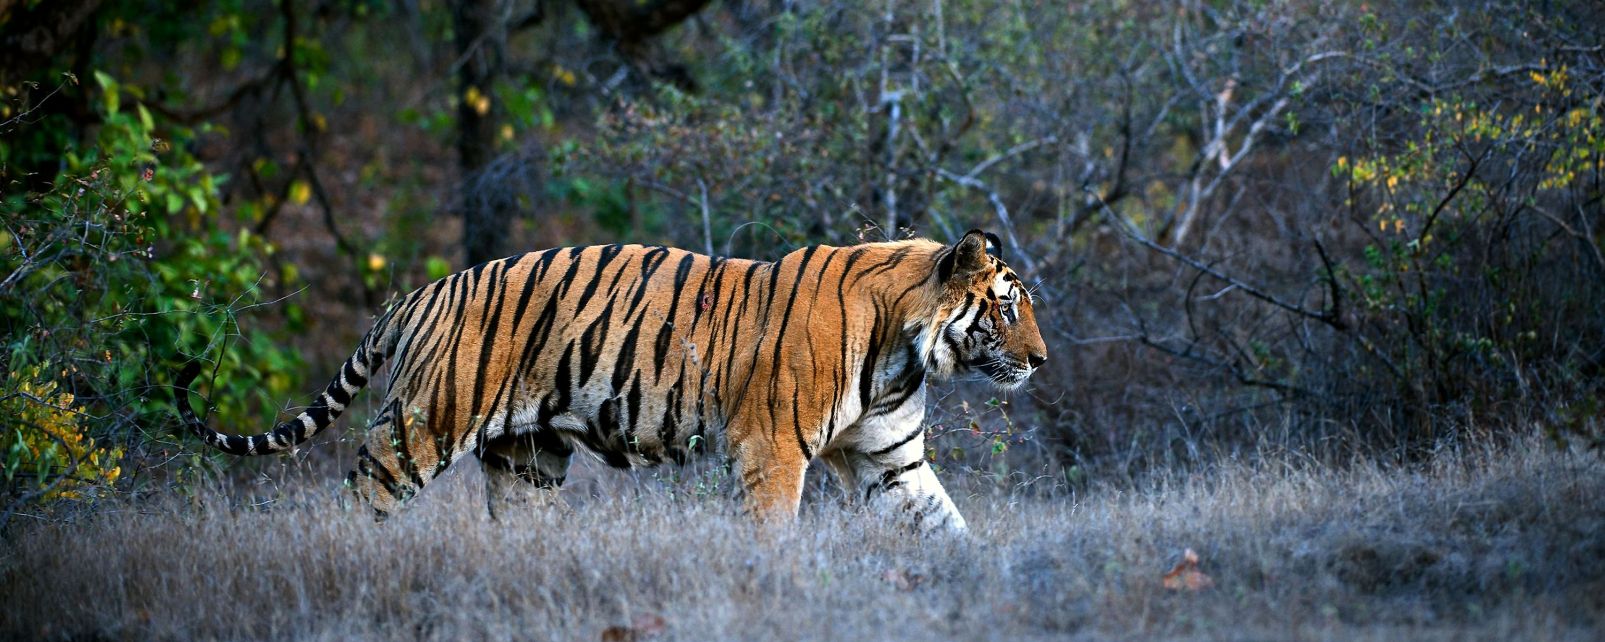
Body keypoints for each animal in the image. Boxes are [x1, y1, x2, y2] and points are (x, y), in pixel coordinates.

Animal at [175, 229, 1046, 532]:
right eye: (1006, 306)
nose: (1040, 359)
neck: (904, 350)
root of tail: (422, 291)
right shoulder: (770, 450)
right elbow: (773, 537)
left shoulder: (890, 461)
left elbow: (948, 530)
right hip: (423, 425)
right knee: (360, 501)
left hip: (527, 460)